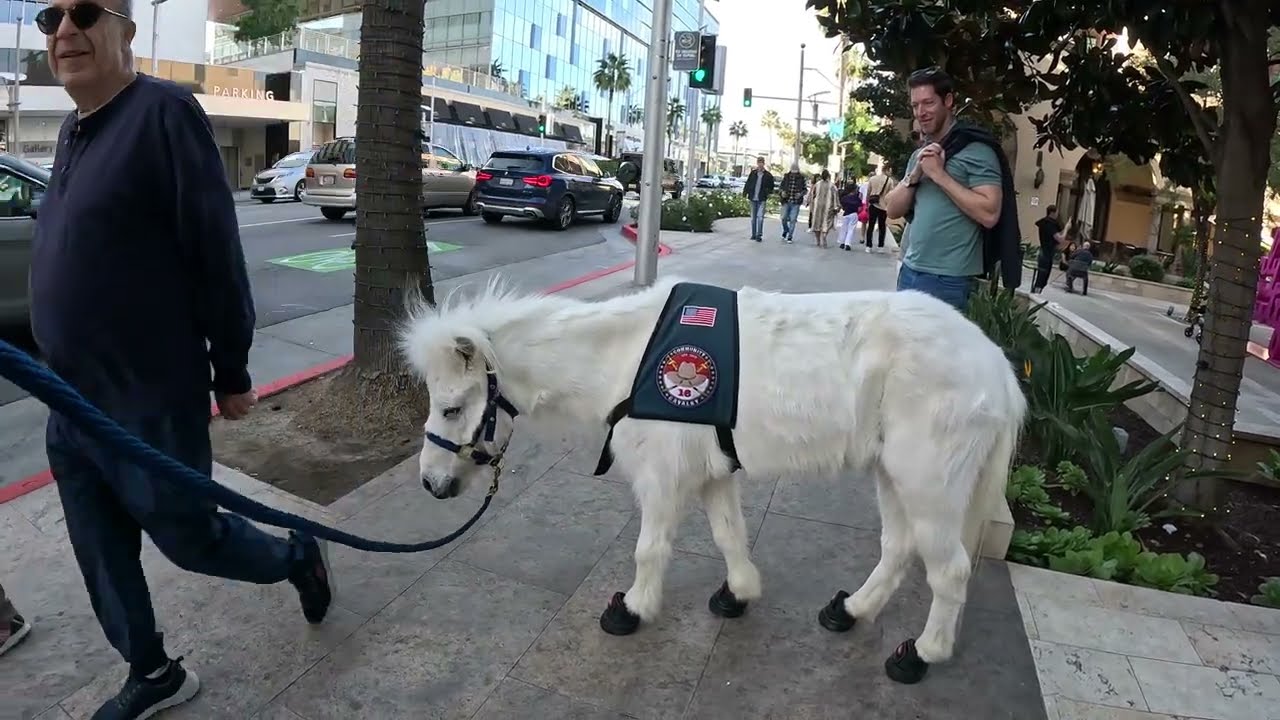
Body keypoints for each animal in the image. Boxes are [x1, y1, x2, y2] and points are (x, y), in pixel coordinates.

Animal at [399, 275, 1026, 684]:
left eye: (451, 408)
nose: (431, 484)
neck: (627, 356)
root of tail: (998, 366)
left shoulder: (663, 474)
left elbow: (650, 549)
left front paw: (632, 609)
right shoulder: (710, 470)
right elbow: (729, 534)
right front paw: (737, 593)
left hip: (930, 480)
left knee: (948, 570)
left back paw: (921, 654)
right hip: (892, 472)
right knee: (898, 547)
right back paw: (849, 612)